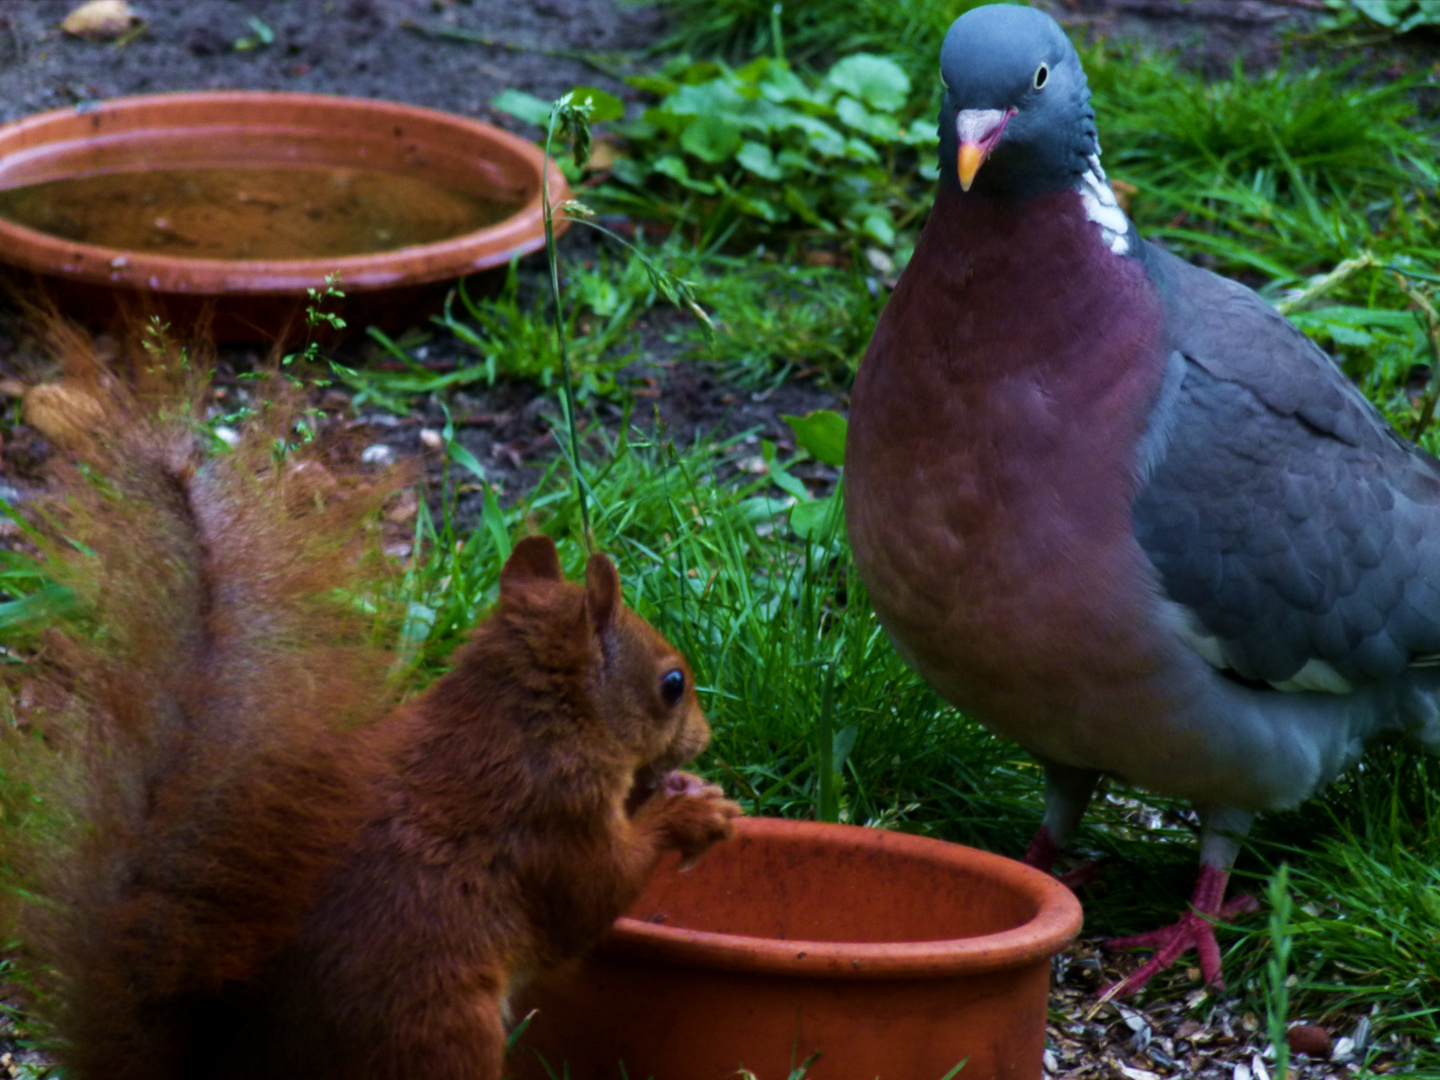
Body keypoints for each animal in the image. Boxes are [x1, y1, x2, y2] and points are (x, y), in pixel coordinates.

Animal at [2, 329, 743, 1080]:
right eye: (672, 683)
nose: (706, 738)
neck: (523, 720)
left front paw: (686, 789)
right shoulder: (551, 815)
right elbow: (596, 895)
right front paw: (687, 813)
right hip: (438, 1029)